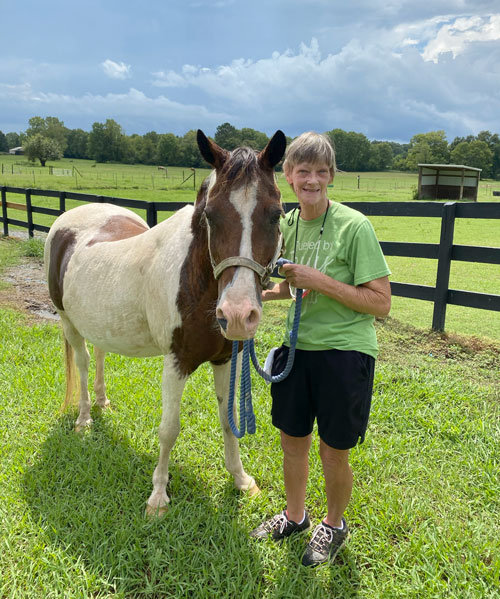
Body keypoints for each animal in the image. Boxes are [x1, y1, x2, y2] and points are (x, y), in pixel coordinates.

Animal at [45, 130, 288, 516]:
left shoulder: (225, 358)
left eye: (276, 214)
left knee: (99, 355)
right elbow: (169, 429)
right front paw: (158, 497)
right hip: (69, 321)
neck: (196, 280)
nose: (237, 314)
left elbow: (228, 419)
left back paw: (102, 402)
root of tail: (67, 219)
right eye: (210, 216)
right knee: (82, 364)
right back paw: (83, 420)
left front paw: (241, 480)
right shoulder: (176, 362)